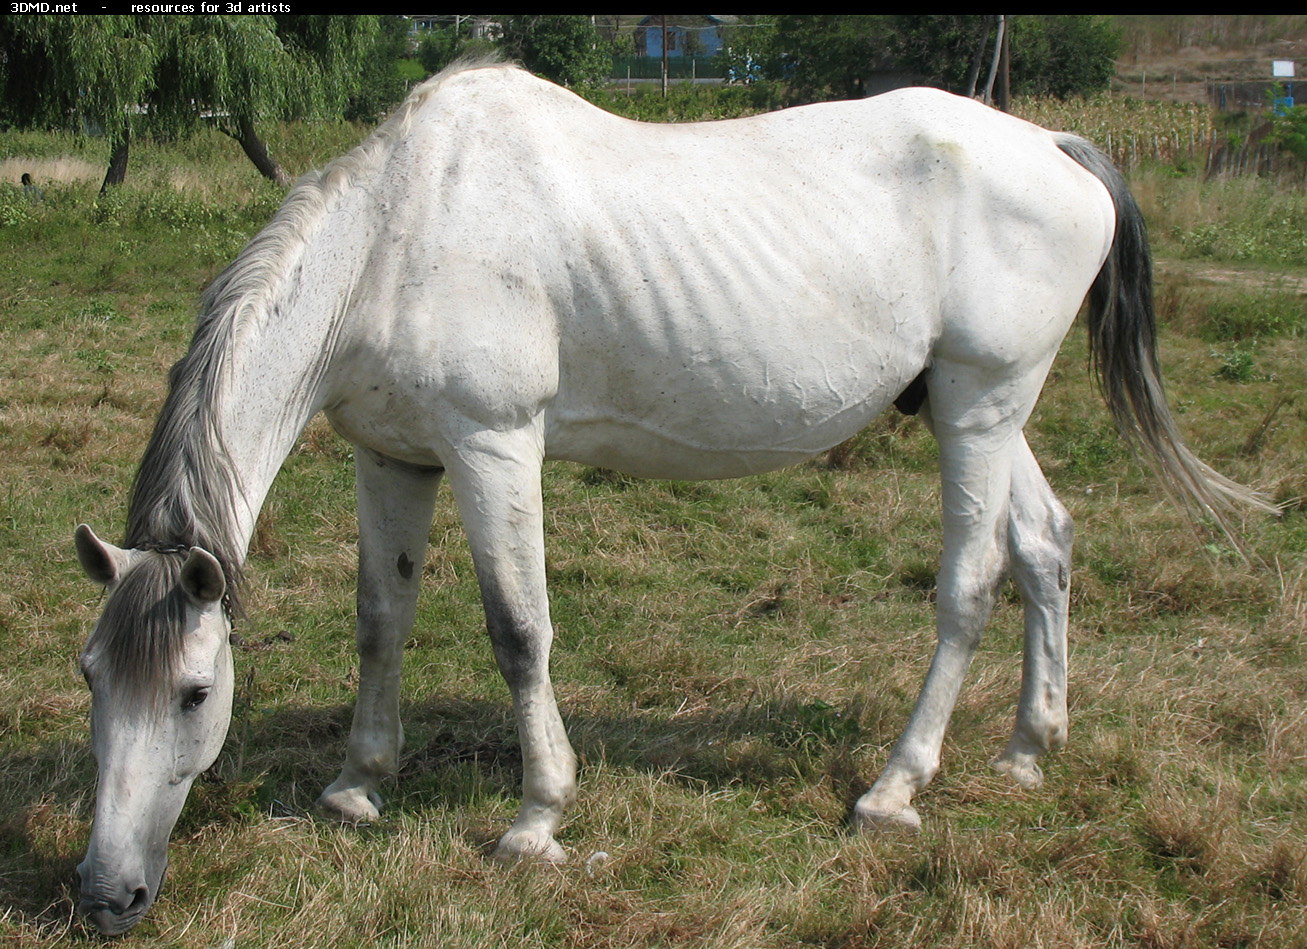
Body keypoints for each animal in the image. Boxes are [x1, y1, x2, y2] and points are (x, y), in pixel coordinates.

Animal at [68, 61, 1265, 935]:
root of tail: (1052, 147)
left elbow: (519, 630)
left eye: (192, 693)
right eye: (90, 677)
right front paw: (358, 786)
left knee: (969, 587)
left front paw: (536, 819)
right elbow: (379, 619)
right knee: (1044, 547)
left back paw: (892, 791)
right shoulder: (394, 457)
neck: (398, 233)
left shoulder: (492, 445)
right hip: (981, 411)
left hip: (979, 406)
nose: (105, 895)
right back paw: (1026, 750)